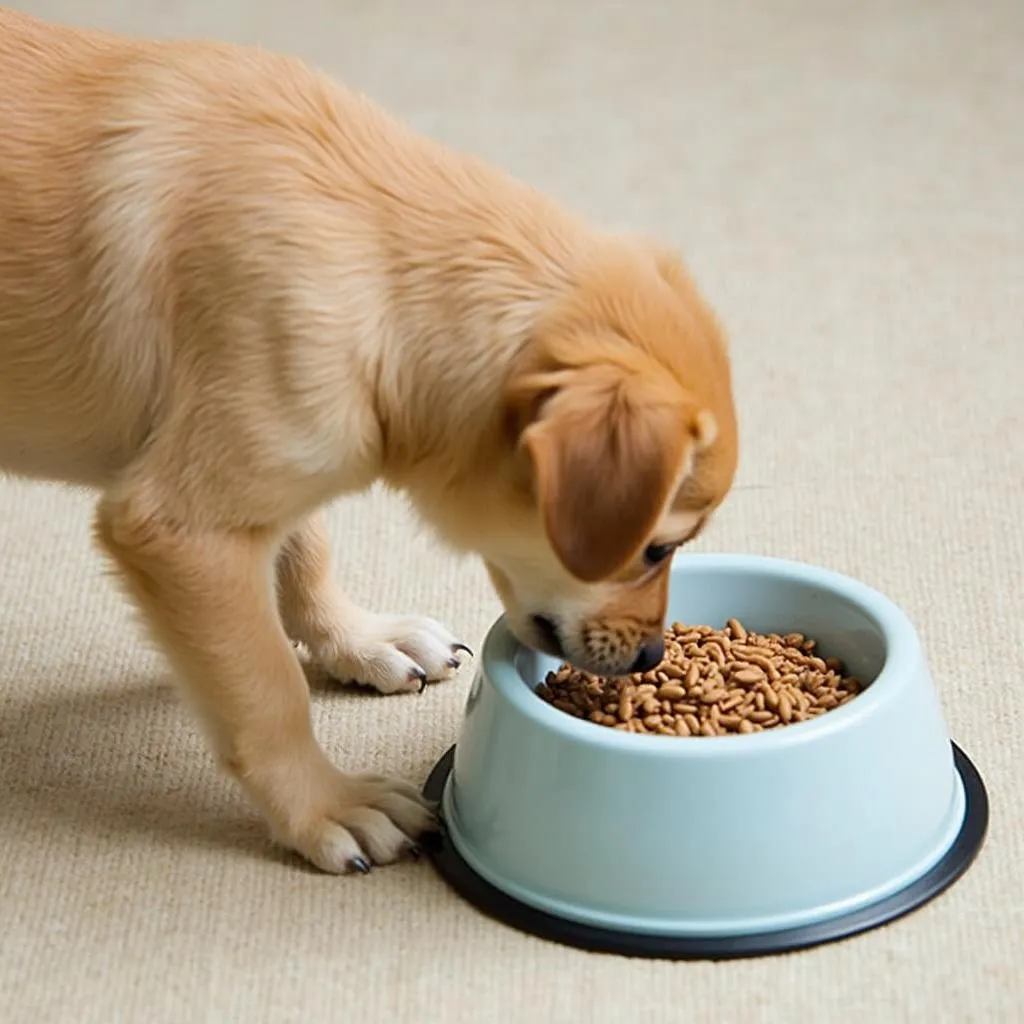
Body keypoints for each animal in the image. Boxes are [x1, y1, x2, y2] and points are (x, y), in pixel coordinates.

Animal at [0, 6, 737, 872]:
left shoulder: (277, 460)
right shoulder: (182, 531)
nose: (655, 657)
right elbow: (268, 694)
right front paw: (327, 805)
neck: (374, 253)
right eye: (657, 548)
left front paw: (356, 642)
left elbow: (306, 549)